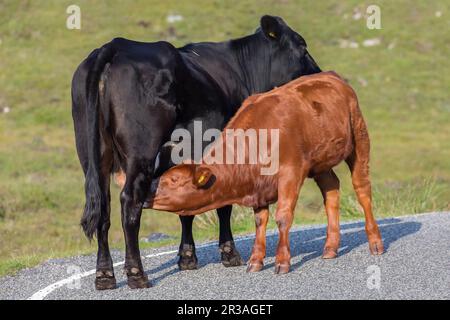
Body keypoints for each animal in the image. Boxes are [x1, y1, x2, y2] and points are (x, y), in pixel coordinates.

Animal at [71, 15, 320, 290]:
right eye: (302, 47)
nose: (319, 74)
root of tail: (116, 45)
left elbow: (186, 208)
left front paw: (187, 257)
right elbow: (223, 205)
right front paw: (229, 253)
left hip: (93, 155)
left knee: (103, 208)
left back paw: (104, 275)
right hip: (140, 152)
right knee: (129, 203)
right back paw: (137, 273)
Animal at [147, 72, 384, 272]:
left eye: (174, 179)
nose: (147, 193)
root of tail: (332, 76)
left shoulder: (291, 173)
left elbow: (283, 217)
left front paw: (282, 261)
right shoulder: (258, 185)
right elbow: (260, 221)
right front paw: (255, 261)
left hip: (359, 139)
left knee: (362, 189)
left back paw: (375, 243)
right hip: (321, 163)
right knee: (331, 190)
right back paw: (330, 247)